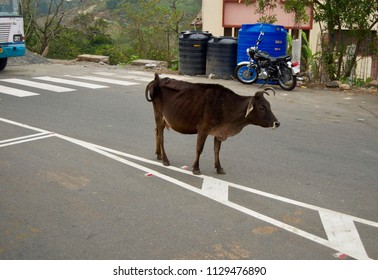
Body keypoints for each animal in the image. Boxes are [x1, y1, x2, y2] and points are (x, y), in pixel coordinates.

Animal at [146, 74, 280, 175]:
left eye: (269, 105)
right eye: (262, 107)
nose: (277, 123)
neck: (227, 105)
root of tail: (157, 80)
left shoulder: (219, 132)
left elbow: (217, 150)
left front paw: (219, 168)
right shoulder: (203, 129)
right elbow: (199, 148)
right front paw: (196, 168)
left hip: (162, 120)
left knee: (157, 132)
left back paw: (159, 155)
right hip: (159, 115)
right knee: (161, 137)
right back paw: (165, 159)